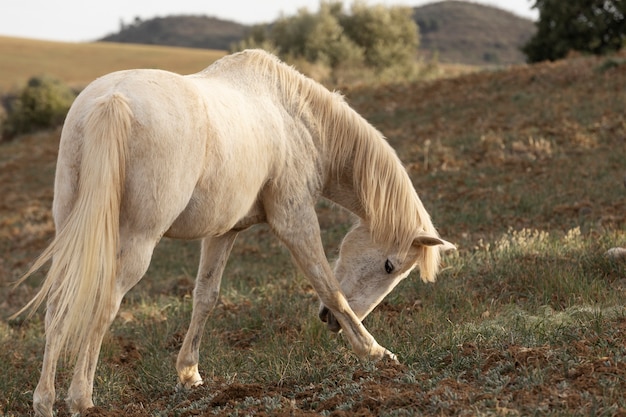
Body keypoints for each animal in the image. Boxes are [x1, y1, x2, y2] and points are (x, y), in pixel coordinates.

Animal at [14, 49, 454, 416]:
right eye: (389, 266)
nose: (328, 323)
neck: (295, 117)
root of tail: (111, 101)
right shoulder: (294, 217)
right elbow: (329, 286)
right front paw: (375, 352)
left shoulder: (224, 232)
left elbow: (206, 297)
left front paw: (189, 374)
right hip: (137, 242)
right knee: (104, 304)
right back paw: (80, 398)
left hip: (74, 231)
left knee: (58, 304)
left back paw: (45, 401)